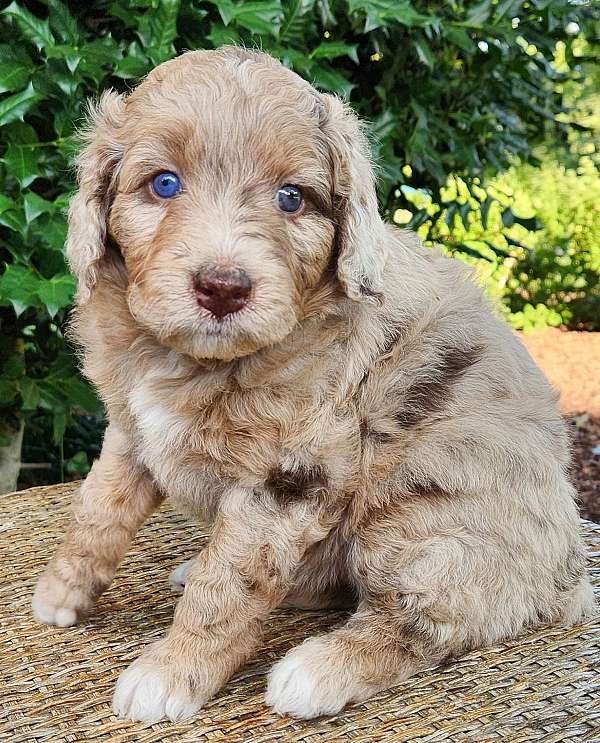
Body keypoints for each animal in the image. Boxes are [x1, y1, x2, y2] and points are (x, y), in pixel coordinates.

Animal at [29, 46, 596, 720]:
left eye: (291, 197)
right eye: (164, 183)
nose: (223, 288)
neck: (196, 360)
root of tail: (567, 576)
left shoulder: (291, 476)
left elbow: (228, 586)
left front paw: (170, 673)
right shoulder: (130, 429)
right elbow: (97, 510)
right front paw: (61, 592)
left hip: (428, 510)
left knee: (427, 616)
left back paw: (319, 669)